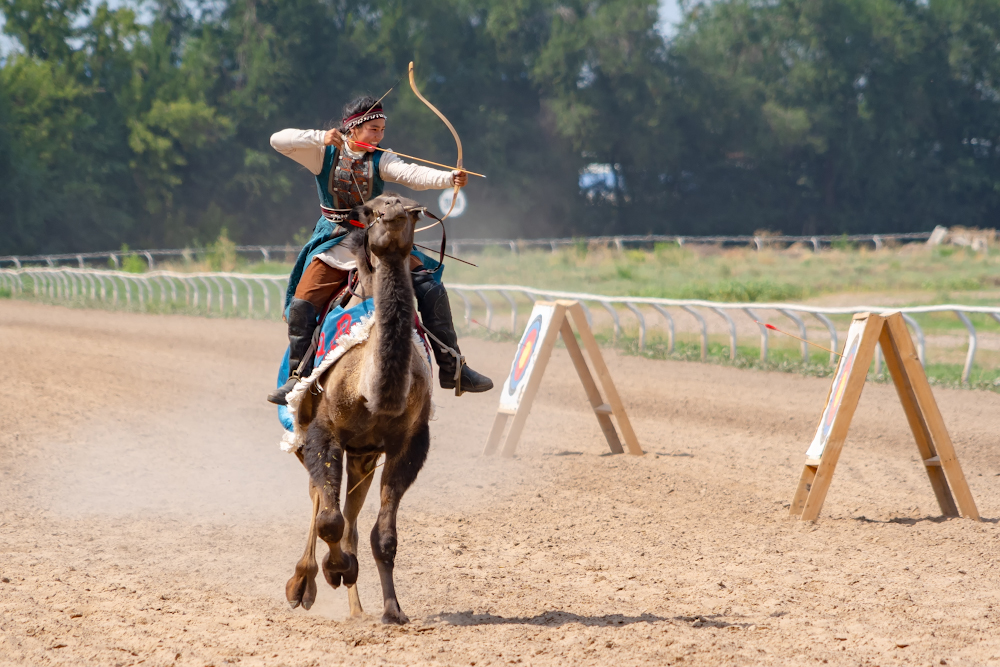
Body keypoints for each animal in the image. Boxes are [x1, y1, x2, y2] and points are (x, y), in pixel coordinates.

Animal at [286, 193, 434, 628]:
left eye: (411, 209)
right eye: (375, 209)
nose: (396, 215)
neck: (370, 391)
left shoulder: (409, 444)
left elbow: (383, 537)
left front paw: (392, 610)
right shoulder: (324, 432)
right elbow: (328, 519)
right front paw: (334, 570)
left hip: (363, 456)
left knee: (350, 514)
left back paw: (355, 606)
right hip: (307, 432)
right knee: (320, 501)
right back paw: (303, 585)